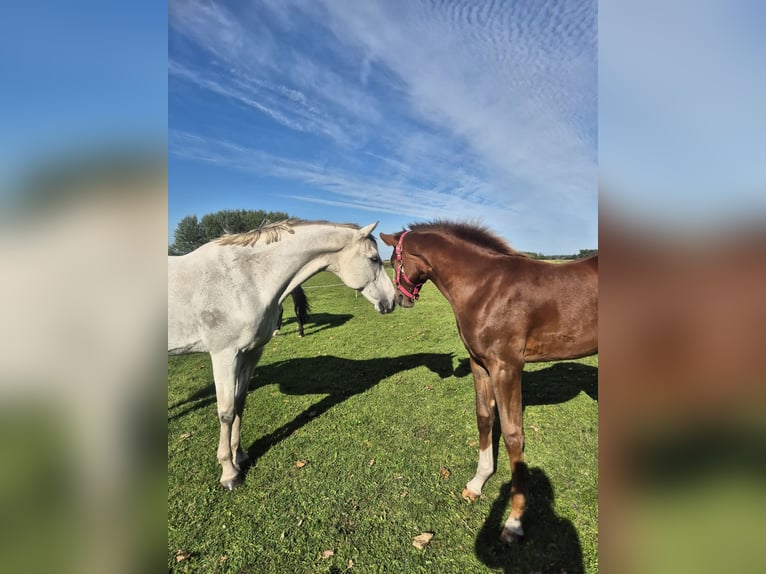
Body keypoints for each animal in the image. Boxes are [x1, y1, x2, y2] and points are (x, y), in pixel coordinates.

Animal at [169, 219, 396, 489]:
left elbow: (239, 404)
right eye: (374, 259)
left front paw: (240, 456)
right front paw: (229, 472)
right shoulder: (224, 355)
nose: (392, 300)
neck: (244, 279)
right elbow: (226, 412)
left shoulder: (250, 354)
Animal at [380, 221, 597, 543]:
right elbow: (484, 417)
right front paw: (477, 482)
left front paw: (515, 522)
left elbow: (512, 435)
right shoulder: (479, 365)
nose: (400, 299)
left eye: (394, 261)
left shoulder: (506, 368)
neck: (485, 289)